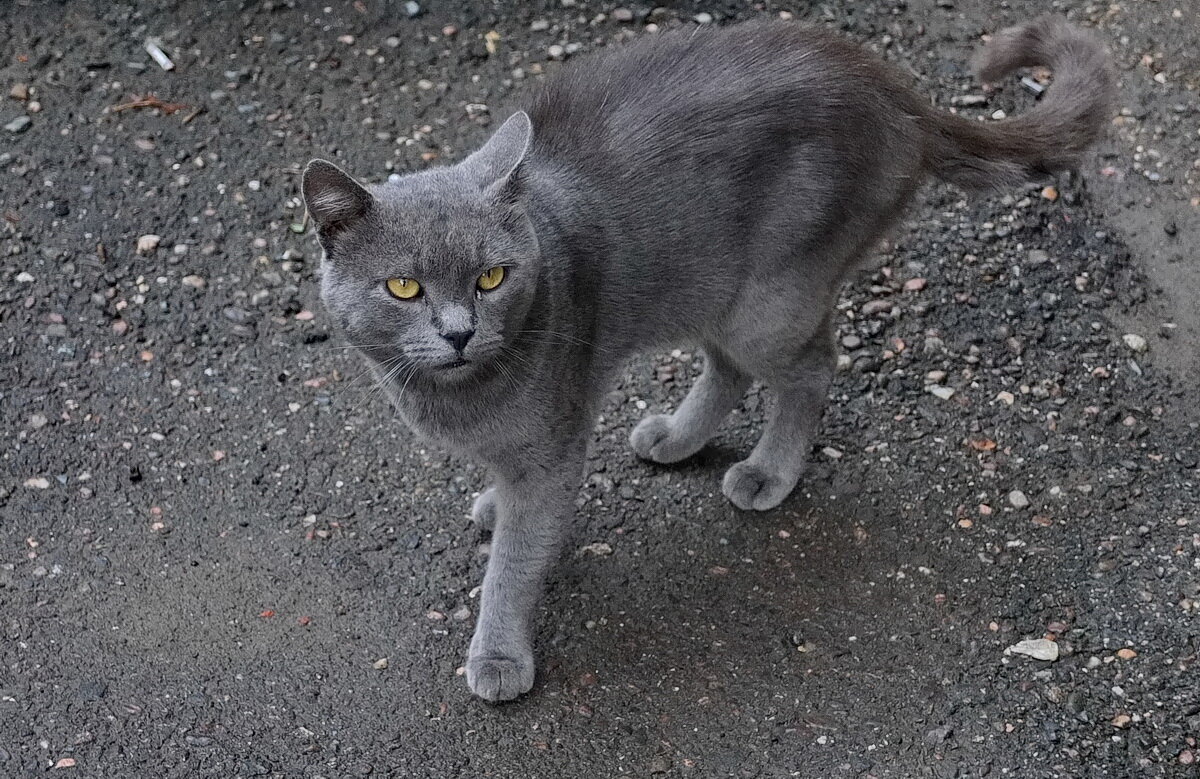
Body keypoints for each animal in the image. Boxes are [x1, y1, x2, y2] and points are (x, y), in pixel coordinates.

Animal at [304, 16, 1108, 700]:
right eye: (404, 287)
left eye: (493, 278)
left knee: (811, 367)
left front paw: (498, 653)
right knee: (730, 368)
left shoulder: (553, 445)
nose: (460, 332)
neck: (455, 395)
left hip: (770, 297)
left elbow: (517, 560)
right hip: (714, 287)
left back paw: (768, 473)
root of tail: (894, 87)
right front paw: (493, 509)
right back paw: (675, 439)